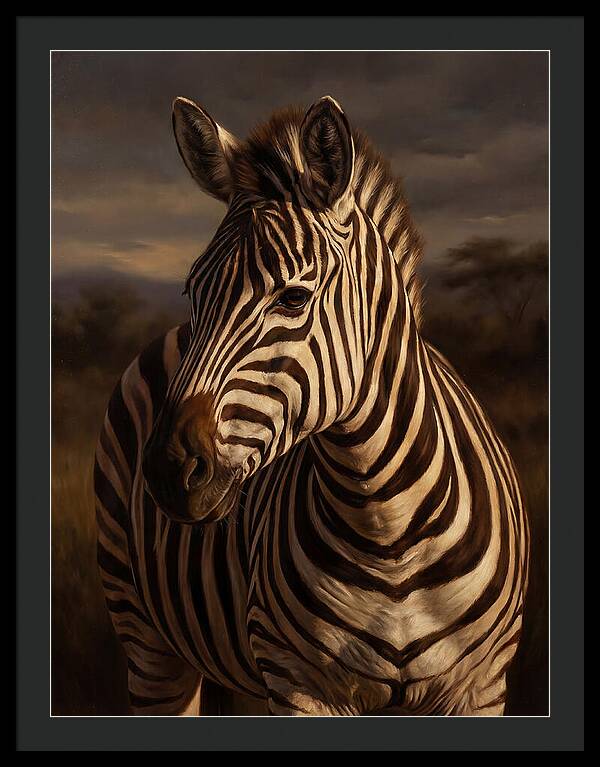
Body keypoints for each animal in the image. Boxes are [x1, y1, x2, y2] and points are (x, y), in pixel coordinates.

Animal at [94, 95, 529, 716]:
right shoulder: (300, 682)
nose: (168, 470)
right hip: (146, 636)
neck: (387, 531)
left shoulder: (481, 686)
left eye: (294, 297)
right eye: (192, 292)